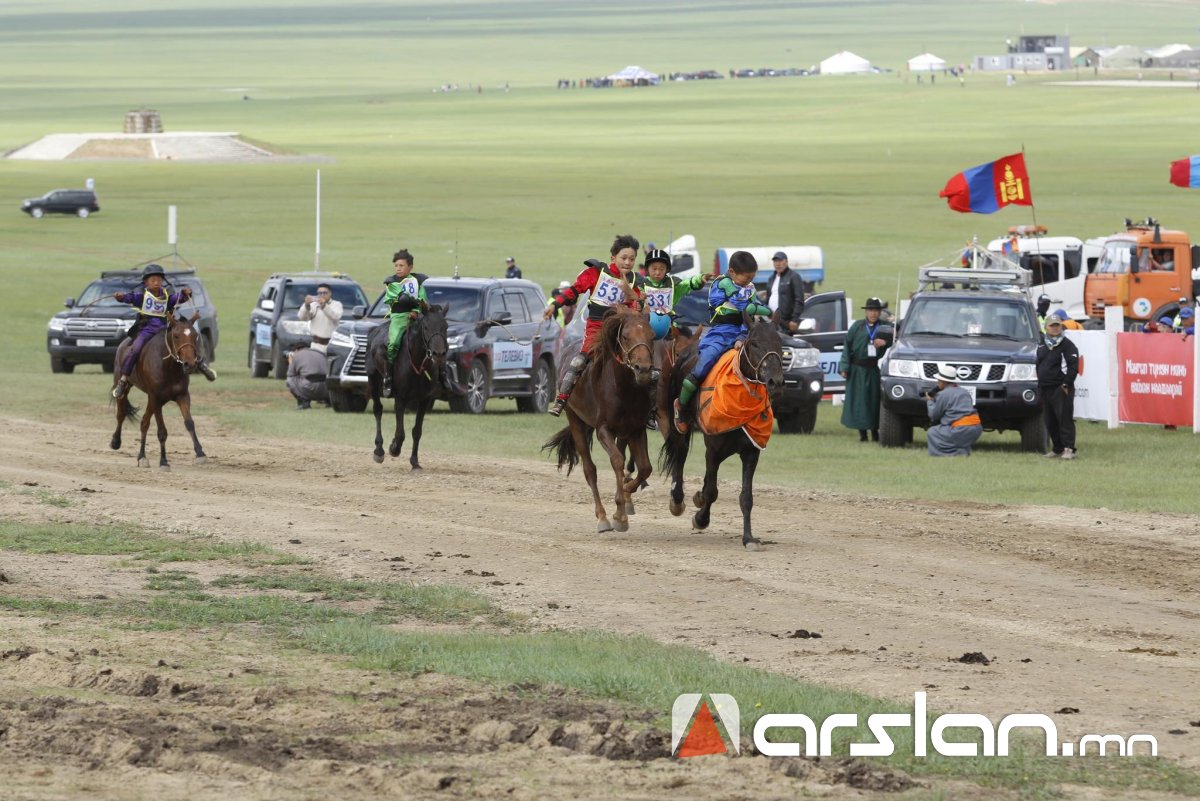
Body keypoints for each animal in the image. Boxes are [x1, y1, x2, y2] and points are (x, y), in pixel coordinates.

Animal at [109, 312, 208, 470]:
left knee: (144, 423)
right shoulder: (156, 398)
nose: (190, 364)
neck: (168, 366)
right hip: (127, 388)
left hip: (153, 400)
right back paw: (116, 441)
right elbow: (162, 431)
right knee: (121, 414)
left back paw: (142, 457)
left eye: (195, 335)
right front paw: (163, 461)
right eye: (176, 336)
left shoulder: (182, 396)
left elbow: (189, 423)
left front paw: (200, 453)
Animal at [366, 305, 449, 470]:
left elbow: (417, 431)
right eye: (426, 327)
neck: (417, 363)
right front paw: (394, 448)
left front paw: (415, 462)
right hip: (373, 379)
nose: (439, 354)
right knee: (378, 409)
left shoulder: (424, 400)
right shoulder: (400, 398)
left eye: (446, 327)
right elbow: (400, 433)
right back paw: (379, 450)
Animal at [543, 306, 656, 533]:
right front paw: (620, 515)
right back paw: (602, 517)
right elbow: (617, 461)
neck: (623, 389)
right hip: (575, 419)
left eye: (651, 336)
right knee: (589, 469)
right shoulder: (603, 429)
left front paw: (627, 489)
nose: (643, 369)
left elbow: (645, 467)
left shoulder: (636, 429)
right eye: (626, 336)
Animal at [660, 316, 784, 549]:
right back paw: (677, 499)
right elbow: (712, 491)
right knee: (680, 453)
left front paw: (749, 538)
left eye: (779, 342)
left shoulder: (751, 452)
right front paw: (701, 519)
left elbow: (746, 497)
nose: (776, 382)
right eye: (754, 343)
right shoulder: (713, 450)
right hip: (680, 424)